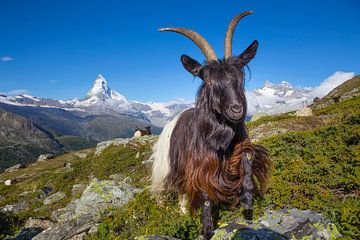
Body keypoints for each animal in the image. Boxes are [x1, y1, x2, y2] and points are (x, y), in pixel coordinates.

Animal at [150, 10, 272, 239]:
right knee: (171, 189)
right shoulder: (200, 167)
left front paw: (248, 207)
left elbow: (247, 168)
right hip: (165, 165)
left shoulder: (241, 150)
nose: (236, 110)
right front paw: (207, 229)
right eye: (207, 81)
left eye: (240, 76)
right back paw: (173, 210)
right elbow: (205, 195)